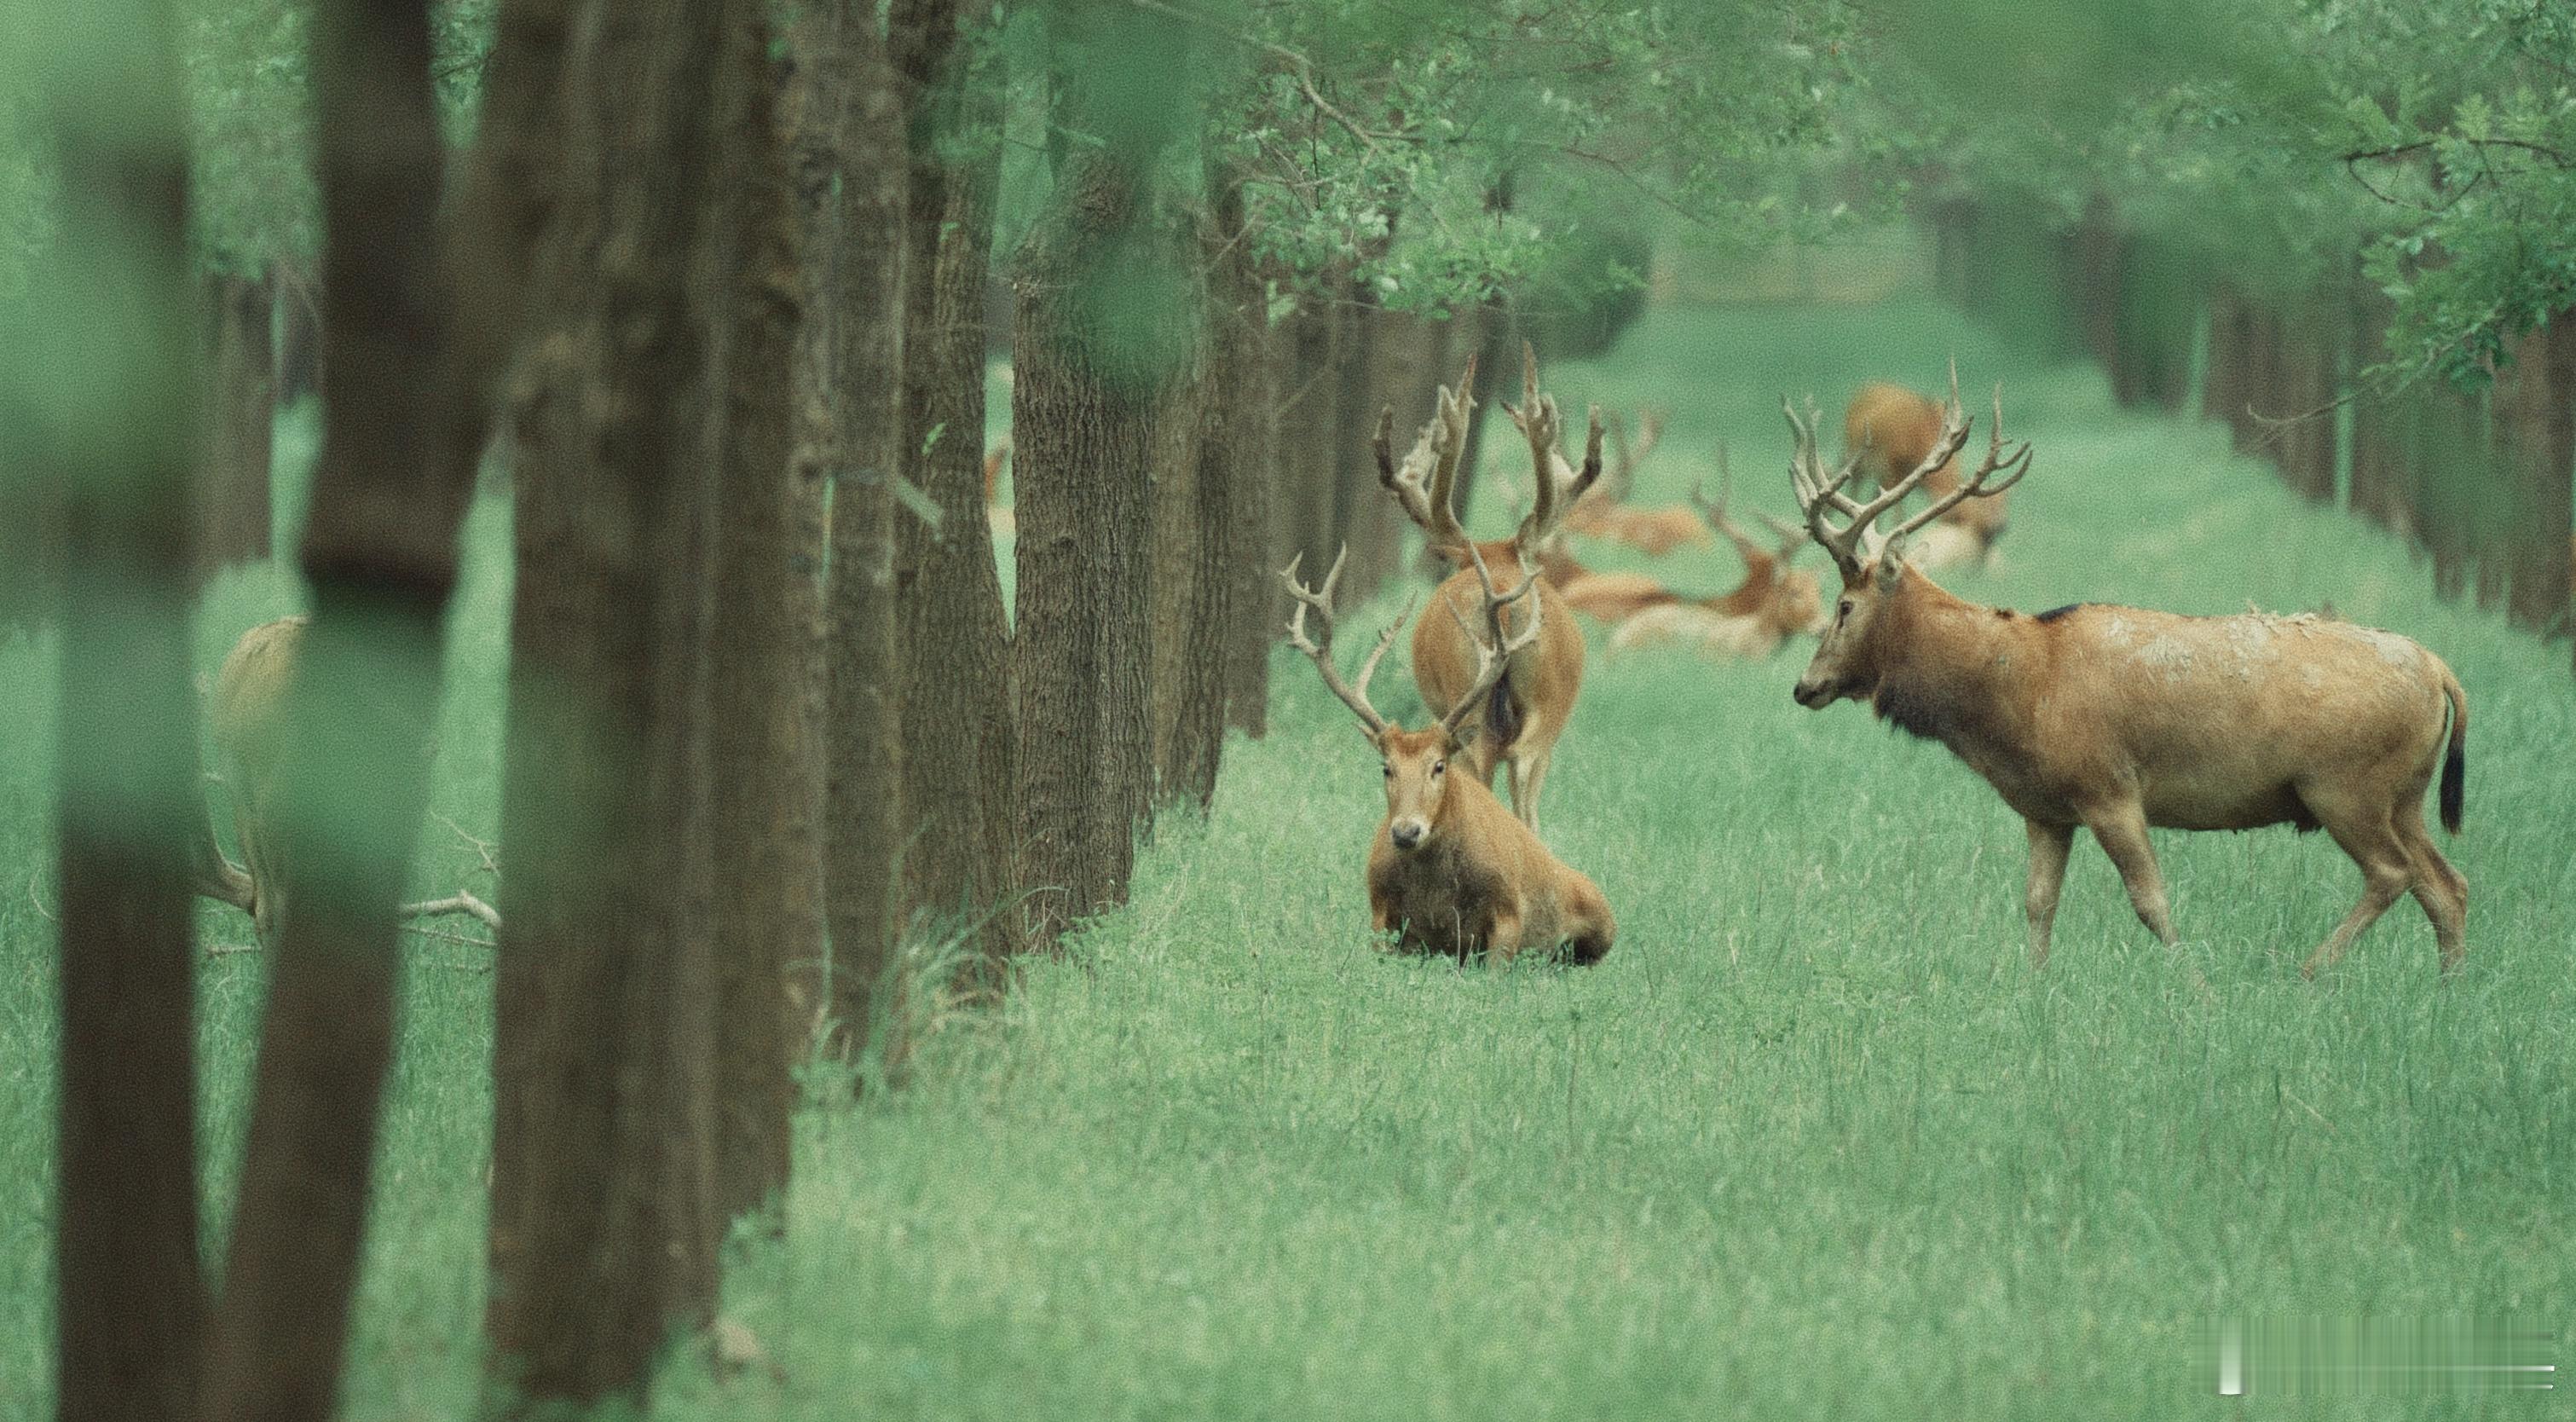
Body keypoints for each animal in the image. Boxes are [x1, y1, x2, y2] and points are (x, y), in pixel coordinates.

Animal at [1281, 544, 1614, 966]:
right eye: (1386, 768)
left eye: (1439, 766)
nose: (1406, 831)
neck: (1436, 898)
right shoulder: (1379, 914)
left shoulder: (1509, 911)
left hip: (1601, 913)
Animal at [1842, 381, 2010, 570]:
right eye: (1982, 534)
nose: (2002, 525)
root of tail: (1866, 387)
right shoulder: (1893, 466)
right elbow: (1898, 517)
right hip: (1853, 454)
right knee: (1854, 490)